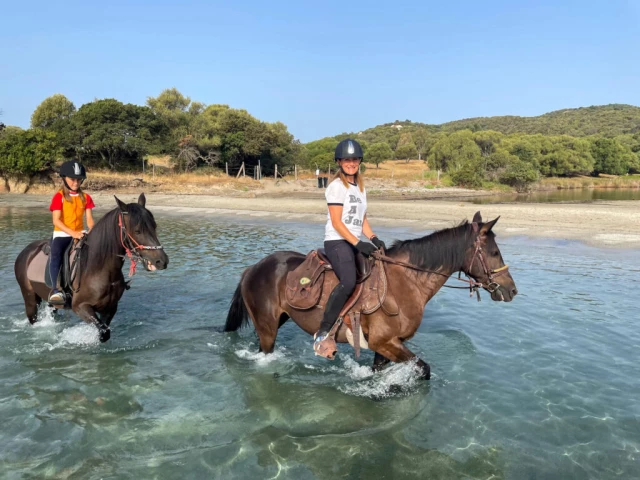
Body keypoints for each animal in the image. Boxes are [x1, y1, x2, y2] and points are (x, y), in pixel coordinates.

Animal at [14, 193, 168, 342]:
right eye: (137, 231)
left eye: (154, 227)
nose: (162, 261)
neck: (99, 269)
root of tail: (26, 252)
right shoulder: (80, 307)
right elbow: (103, 331)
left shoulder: (110, 307)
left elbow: (104, 332)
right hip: (30, 298)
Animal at [224, 211, 517, 379]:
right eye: (494, 252)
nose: (512, 290)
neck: (405, 282)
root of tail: (253, 268)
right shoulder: (384, 342)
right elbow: (424, 370)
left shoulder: (387, 345)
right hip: (268, 330)